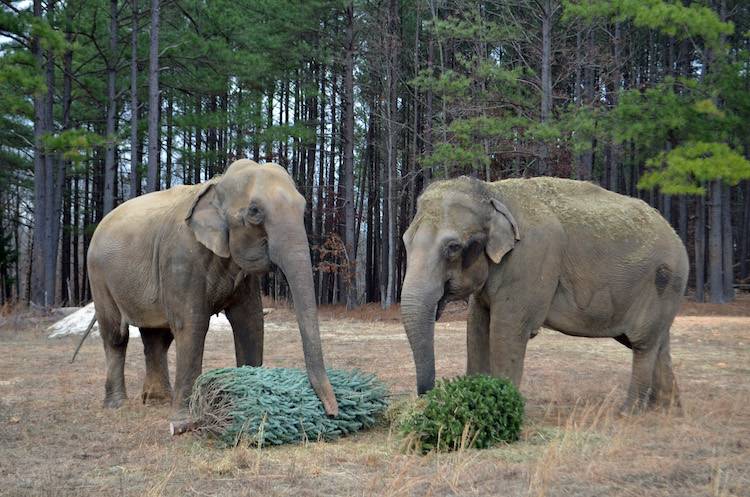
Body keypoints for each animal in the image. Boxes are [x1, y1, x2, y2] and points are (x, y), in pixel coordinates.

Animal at [86, 159, 338, 420]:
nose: (332, 412)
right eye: (254, 212)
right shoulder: (180, 256)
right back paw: (117, 405)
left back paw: (158, 401)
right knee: (116, 335)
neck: (217, 184)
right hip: (98, 275)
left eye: (303, 207)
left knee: (156, 336)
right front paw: (184, 420)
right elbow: (192, 323)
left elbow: (250, 321)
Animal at [400, 176, 688, 413]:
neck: (493, 193)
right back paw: (665, 409)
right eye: (404, 241)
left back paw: (628, 412)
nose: (428, 398)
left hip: (663, 285)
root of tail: (677, 238)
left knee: (642, 344)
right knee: (658, 343)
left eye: (453, 247)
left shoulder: (531, 259)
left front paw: (504, 410)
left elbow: (506, 331)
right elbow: (477, 327)